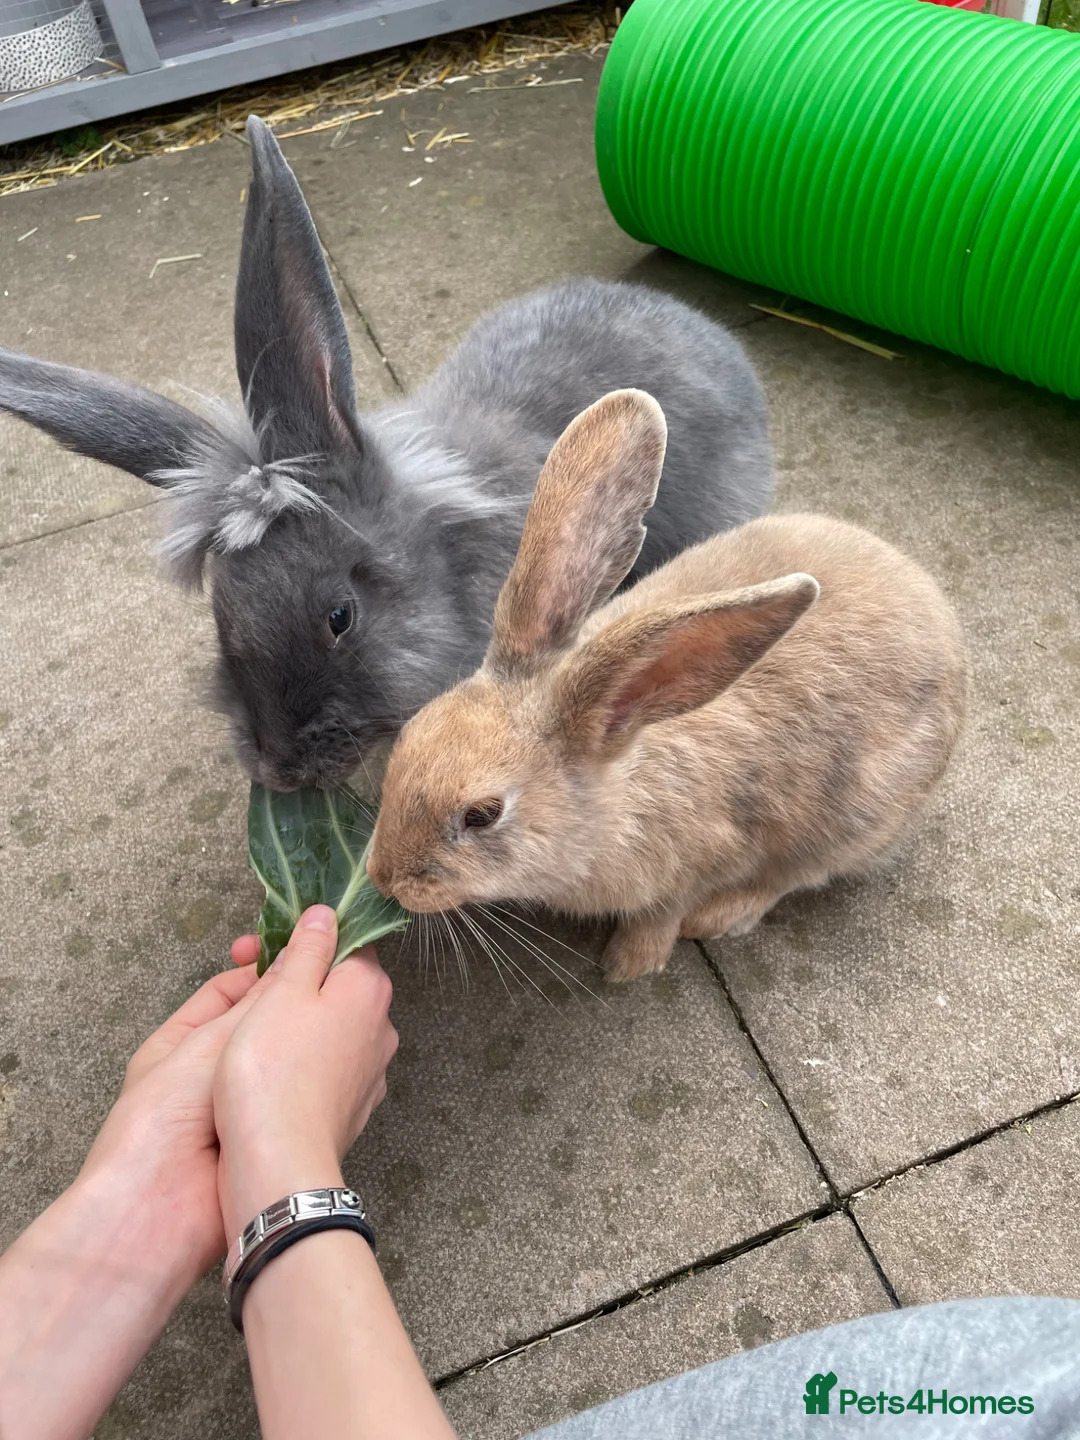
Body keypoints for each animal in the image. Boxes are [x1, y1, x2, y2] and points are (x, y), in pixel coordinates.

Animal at [367, 388, 968, 981]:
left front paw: (631, 964)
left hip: (852, 819)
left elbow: (668, 909)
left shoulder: (706, 857)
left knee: (794, 874)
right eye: (409, 736)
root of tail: (946, 630)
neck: (613, 791)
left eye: (482, 814)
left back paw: (719, 917)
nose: (382, 876)